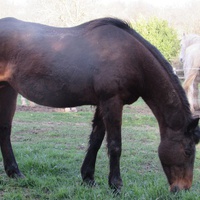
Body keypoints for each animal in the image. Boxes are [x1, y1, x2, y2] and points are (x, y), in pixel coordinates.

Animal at [0, 18, 200, 193]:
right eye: (188, 151)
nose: (183, 188)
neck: (131, 56)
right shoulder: (112, 102)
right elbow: (115, 145)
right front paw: (116, 185)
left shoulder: (102, 104)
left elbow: (96, 140)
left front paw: (88, 178)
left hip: (8, 89)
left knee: (5, 129)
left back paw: (14, 172)